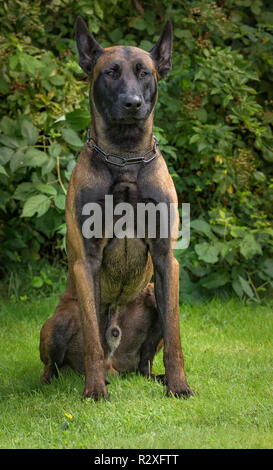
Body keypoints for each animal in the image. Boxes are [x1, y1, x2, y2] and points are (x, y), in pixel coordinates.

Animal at [38, 15, 191, 400]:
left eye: (144, 72)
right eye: (110, 73)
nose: (132, 103)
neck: (125, 158)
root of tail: (115, 366)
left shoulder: (166, 260)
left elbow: (175, 337)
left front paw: (180, 385)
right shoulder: (86, 261)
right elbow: (94, 338)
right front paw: (95, 392)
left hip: (150, 296)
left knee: (144, 362)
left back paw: (156, 378)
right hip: (58, 321)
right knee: (55, 363)